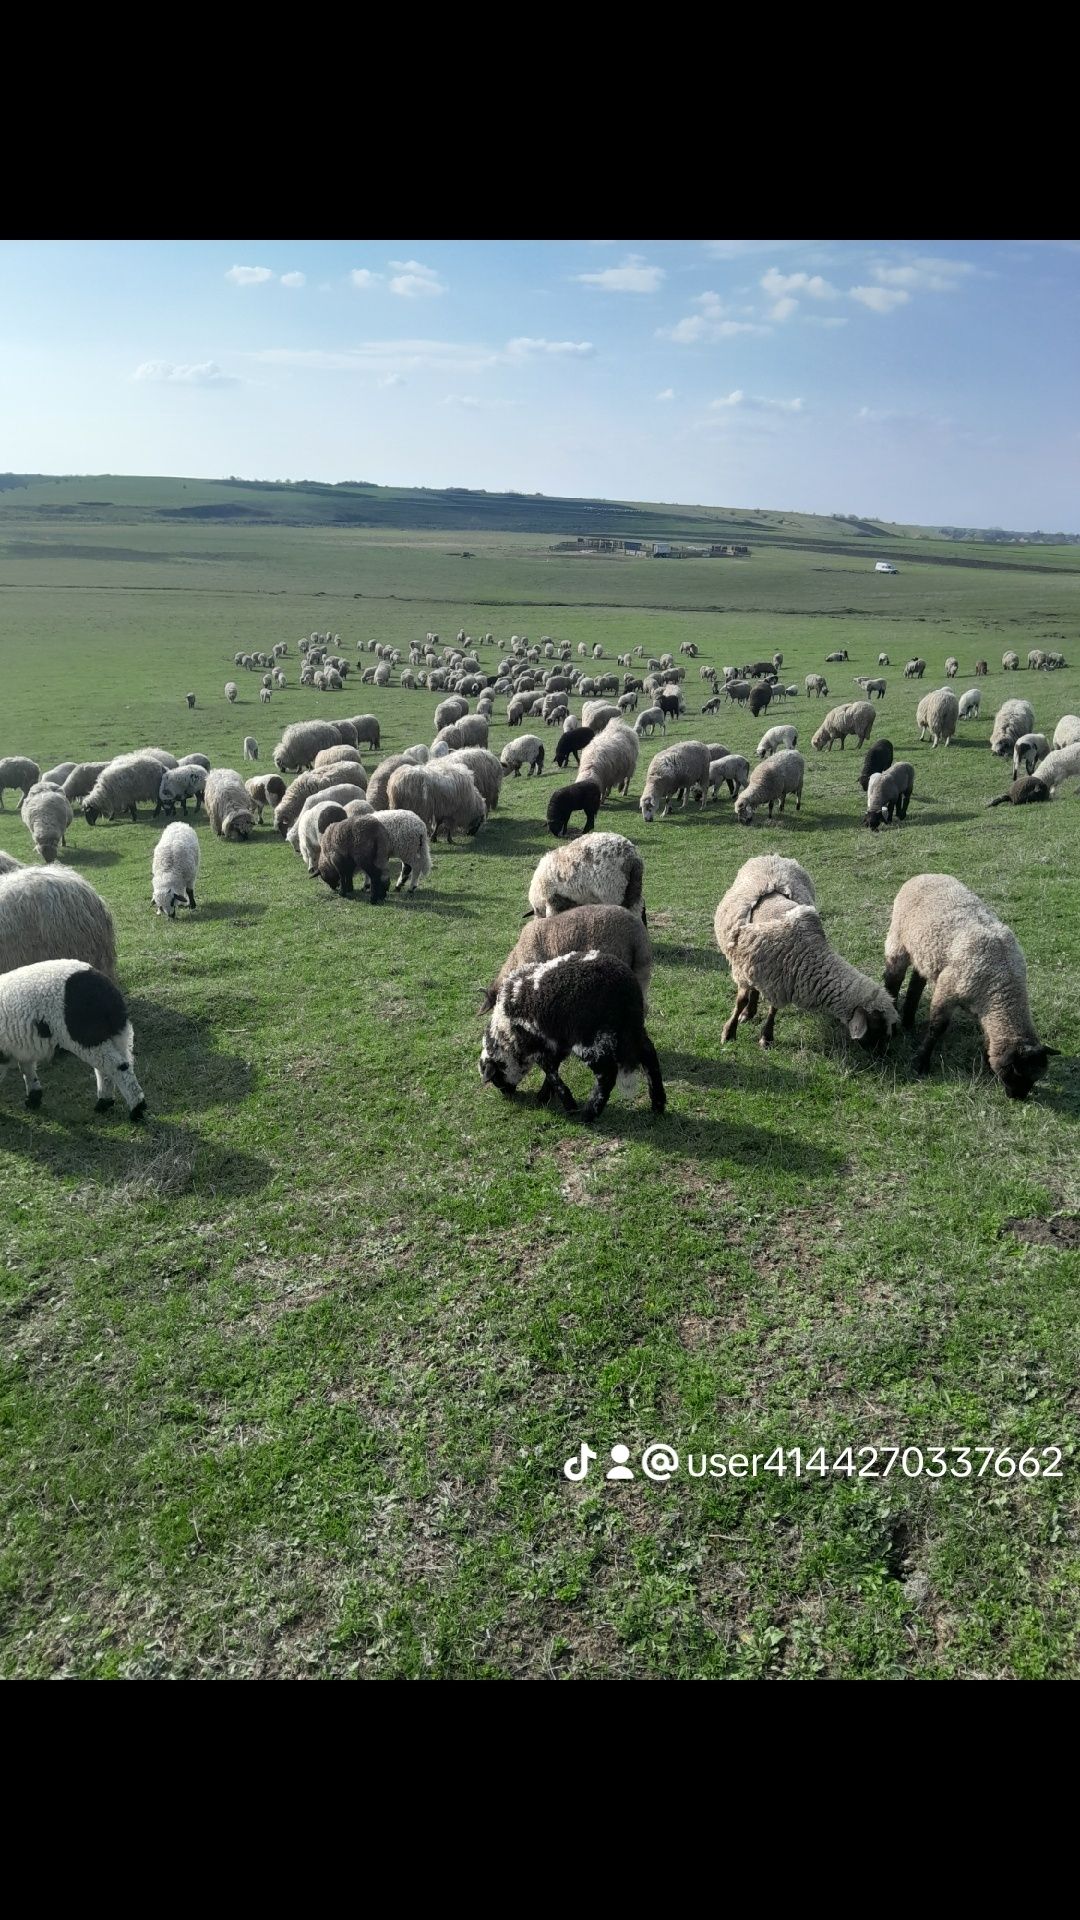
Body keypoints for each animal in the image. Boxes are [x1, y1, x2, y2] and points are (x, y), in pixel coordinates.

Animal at [0, 967, 146, 1121]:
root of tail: (108, 990)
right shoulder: (22, 1048)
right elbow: (27, 1069)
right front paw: (33, 1099)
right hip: (114, 1035)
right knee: (114, 1066)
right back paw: (104, 1103)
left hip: (86, 1035)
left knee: (117, 1066)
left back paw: (136, 1110)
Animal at [478, 948, 664, 1121]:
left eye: (495, 1078)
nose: (507, 1094)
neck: (507, 1036)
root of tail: (624, 985)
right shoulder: (557, 1044)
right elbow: (552, 1072)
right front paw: (544, 1096)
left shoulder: (539, 1046)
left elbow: (551, 1074)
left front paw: (569, 1106)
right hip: (632, 1025)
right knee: (649, 1056)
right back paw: (658, 1104)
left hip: (592, 1037)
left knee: (607, 1074)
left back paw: (589, 1114)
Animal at [711, 864, 895, 1059]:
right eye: (878, 1027)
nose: (885, 1055)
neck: (806, 952)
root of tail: (773, 858)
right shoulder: (749, 970)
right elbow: (740, 1001)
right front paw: (729, 1032)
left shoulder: (779, 980)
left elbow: (773, 1009)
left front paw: (766, 1037)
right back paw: (747, 1013)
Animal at [883, 871, 1053, 1098]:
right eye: (1017, 1073)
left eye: (1035, 1079)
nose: (1018, 1097)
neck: (1002, 981)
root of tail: (924, 874)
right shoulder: (947, 989)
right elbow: (937, 1028)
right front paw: (921, 1063)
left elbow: (987, 1036)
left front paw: (987, 1064)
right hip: (898, 939)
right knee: (892, 980)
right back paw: (894, 1021)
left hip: (924, 951)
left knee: (916, 981)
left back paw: (909, 1020)